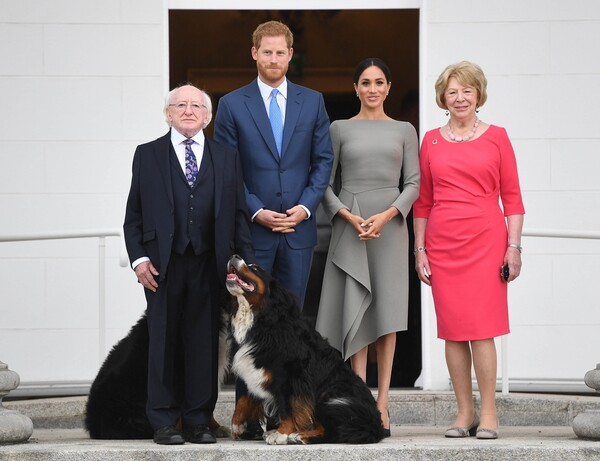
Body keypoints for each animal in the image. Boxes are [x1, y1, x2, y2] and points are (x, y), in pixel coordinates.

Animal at [225, 253, 384, 444]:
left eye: (255, 268)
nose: (234, 255)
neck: (261, 321)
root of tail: (376, 425)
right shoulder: (257, 369)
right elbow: (244, 398)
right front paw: (238, 425)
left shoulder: (290, 376)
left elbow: (288, 407)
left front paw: (282, 433)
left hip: (331, 400)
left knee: (332, 432)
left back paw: (298, 436)